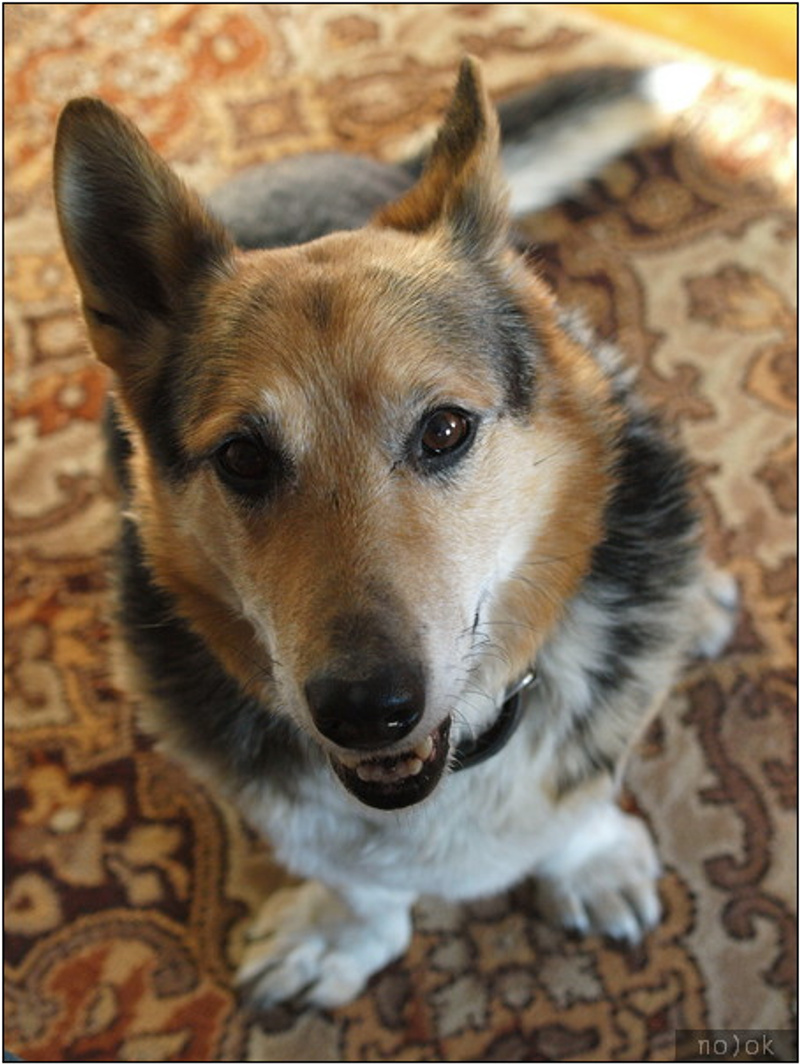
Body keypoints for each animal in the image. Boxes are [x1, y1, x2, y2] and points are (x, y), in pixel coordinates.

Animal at [54, 57, 737, 1009]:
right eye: (243, 458)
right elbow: (355, 880)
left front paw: (589, 861)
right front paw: (342, 934)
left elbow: (582, 798)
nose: (366, 711)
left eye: (444, 429)